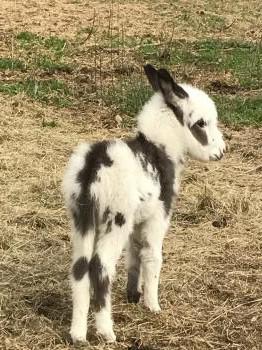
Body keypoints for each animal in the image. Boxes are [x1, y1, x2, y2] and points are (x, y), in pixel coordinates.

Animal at [63, 64, 225, 344]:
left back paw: (78, 335)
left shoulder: (137, 221)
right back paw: (106, 331)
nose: (222, 152)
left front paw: (133, 295)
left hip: (82, 220)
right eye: (201, 123)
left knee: (80, 267)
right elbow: (153, 257)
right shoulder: (158, 217)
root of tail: (93, 165)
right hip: (115, 220)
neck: (160, 149)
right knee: (100, 267)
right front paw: (152, 305)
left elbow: (134, 255)